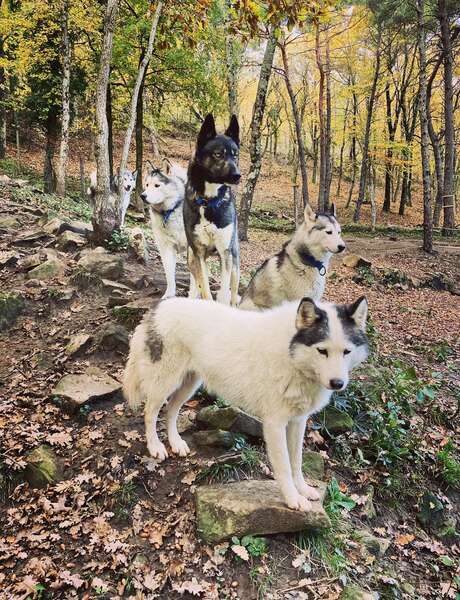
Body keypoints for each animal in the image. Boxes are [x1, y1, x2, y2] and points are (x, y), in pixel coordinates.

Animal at [124, 296, 368, 510]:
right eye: (322, 350)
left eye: (346, 352)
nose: (338, 383)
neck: (291, 356)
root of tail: (159, 306)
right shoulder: (275, 425)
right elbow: (284, 467)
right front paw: (293, 500)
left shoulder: (298, 422)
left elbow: (297, 462)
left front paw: (304, 490)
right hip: (165, 384)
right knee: (150, 413)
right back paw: (155, 447)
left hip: (189, 385)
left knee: (171, 411)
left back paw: (176, 443)